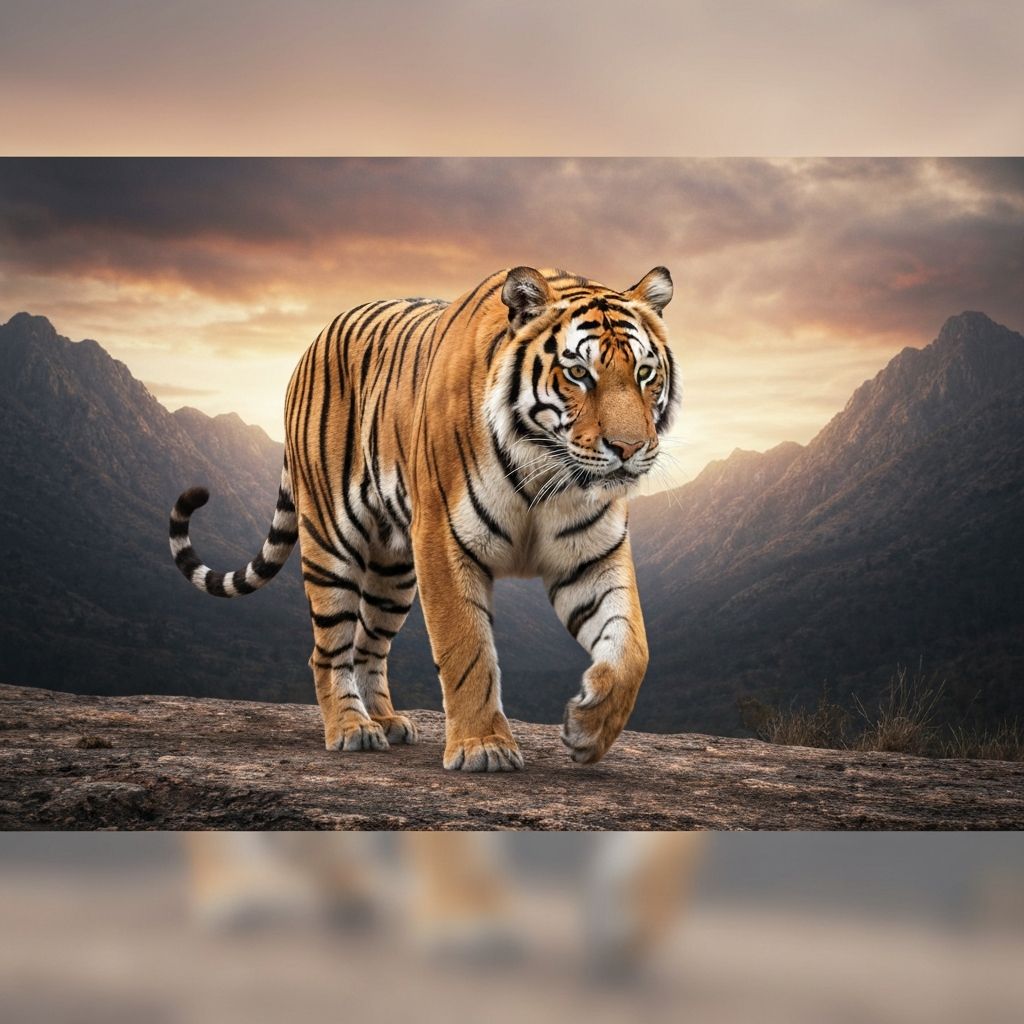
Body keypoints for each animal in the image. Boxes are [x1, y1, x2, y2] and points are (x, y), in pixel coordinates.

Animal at [168, 266, 678, 771]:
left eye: (644, 373)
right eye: (578, 373)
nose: (629, 448)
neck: (546, 470)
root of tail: (316, 339)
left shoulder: (593, 555)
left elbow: (633, 648)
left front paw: (587, 731)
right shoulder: (444, 541)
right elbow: (467, 649)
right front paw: (482, 746)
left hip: (393, 572)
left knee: (368, 645)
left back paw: (386, 721)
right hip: (331, 542)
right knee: (328, 649)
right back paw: (351, 729)